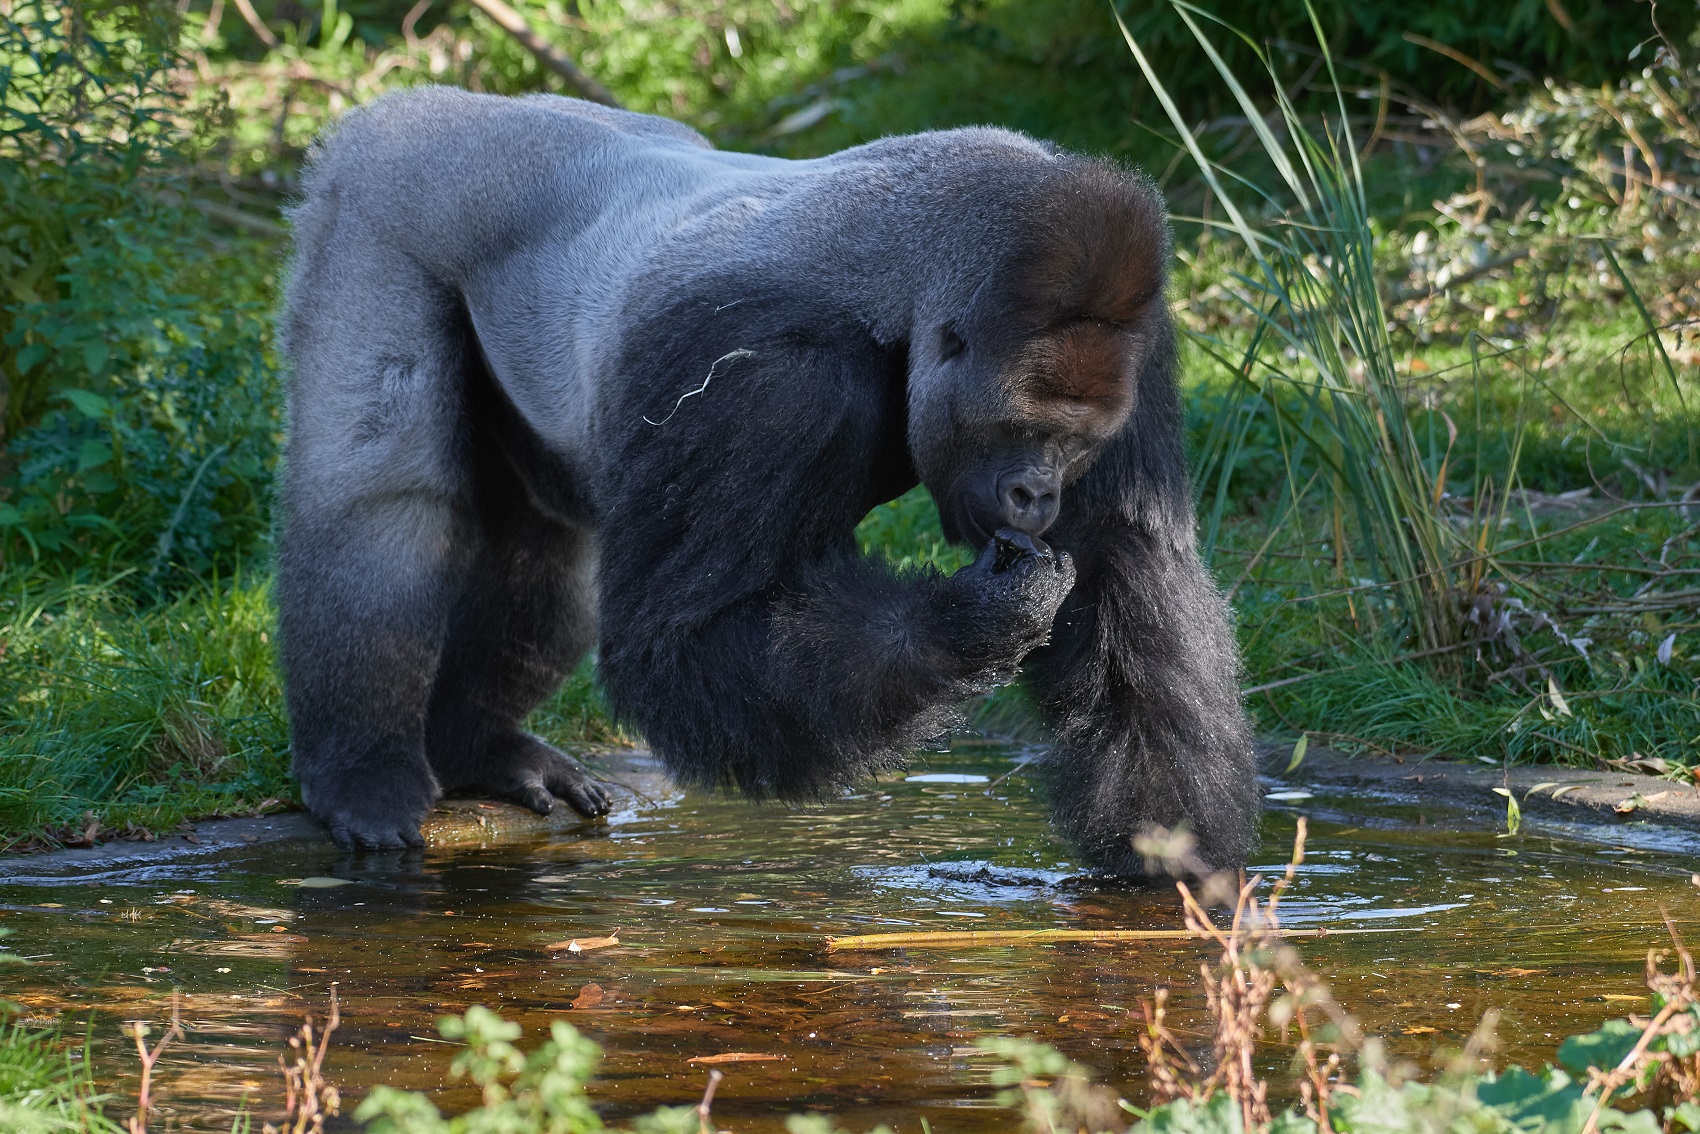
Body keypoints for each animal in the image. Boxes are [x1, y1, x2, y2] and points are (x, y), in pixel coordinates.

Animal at [278, 86, 1264, 877]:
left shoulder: (1141, 337)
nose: (1038, 496)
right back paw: (364, 768)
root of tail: (422, 106)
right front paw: (970, 621)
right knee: (383, 502)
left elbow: (1128, 564)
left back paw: (476, 745)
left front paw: (1171, 849)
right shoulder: (769, 379)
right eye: (1023, 433)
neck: (905, 288)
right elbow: (688, 633)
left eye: (1075, 444)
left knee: (543, 541)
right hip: (380, 203)